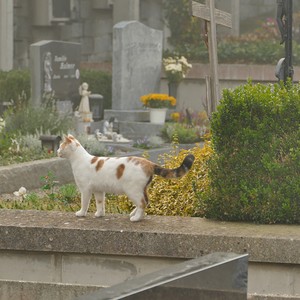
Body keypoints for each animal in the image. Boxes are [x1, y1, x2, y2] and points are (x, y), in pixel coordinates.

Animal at [57, 135, 196, 221]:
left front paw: (81, 213)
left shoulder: (85, 190)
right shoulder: (99, 190)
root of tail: (149, 163)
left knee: (142, 203)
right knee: (146, 201)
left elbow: (84, 203)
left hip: (132, 190)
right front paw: (99, 214)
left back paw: (136, 218)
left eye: (61, 146)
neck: (79, 160)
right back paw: (135, 214)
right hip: (141, 189)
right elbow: (100, 203)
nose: (57, 151)